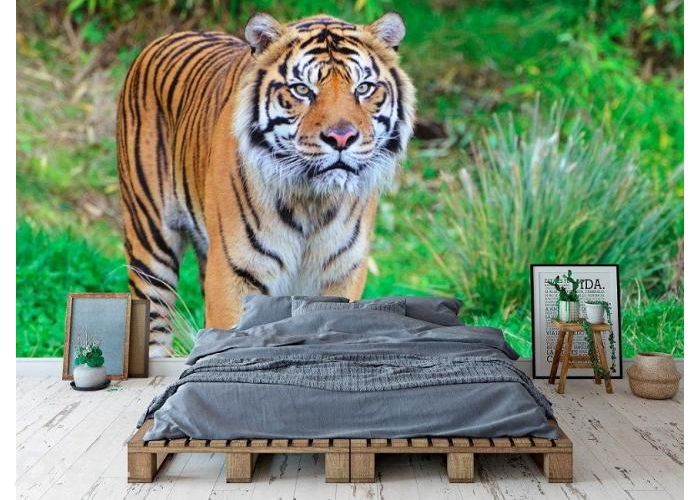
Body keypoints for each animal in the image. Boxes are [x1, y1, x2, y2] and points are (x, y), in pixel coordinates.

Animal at [116, 13, 415, 356]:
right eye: (302, 90)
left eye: (364, 88)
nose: (341, 138)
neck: (312, 201)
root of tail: (170, 36)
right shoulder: (234, 274)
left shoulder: (342, 273)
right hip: (150, 245)